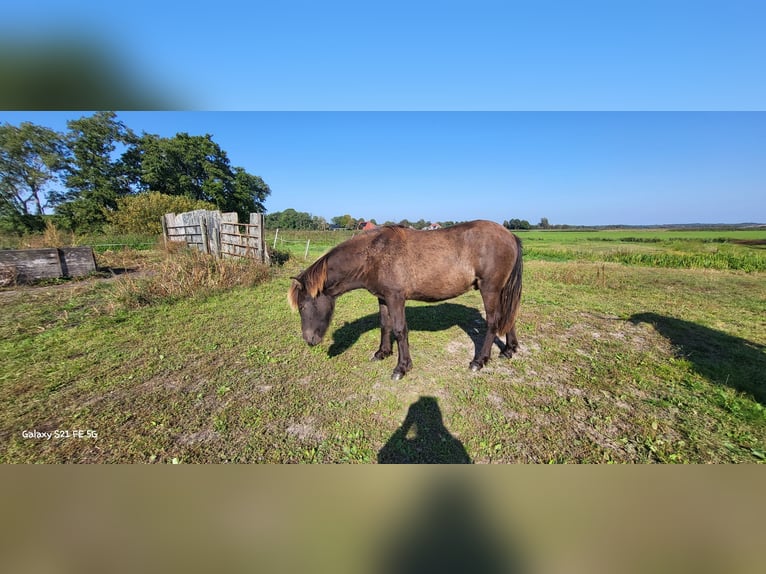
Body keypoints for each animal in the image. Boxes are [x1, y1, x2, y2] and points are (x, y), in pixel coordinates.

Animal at [288, 223, 520, 380]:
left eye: (303, 306)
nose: (309, 340)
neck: (374, 255)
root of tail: (509, 234)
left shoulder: (396, 298)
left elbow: (400, 330)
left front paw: (402, 367)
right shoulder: (383, 298)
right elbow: (385, 325)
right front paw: (382, 353)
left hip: (489, 289)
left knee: (493, 322)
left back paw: (479, 361)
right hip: (501, 291)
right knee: (508, 318)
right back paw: (509, 350)